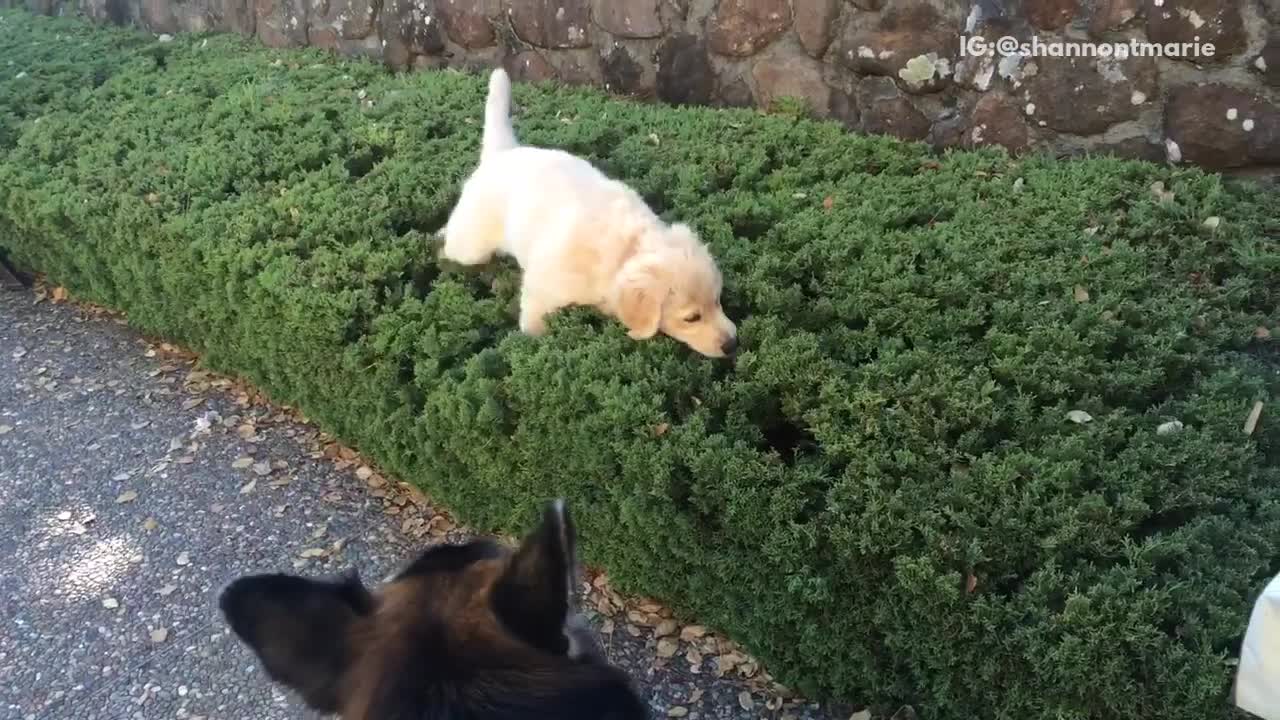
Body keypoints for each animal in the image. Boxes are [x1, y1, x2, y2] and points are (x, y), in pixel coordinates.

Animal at [442, 70, 737, 356]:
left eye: (717, 301)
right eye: (692, 318)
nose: (733, 344)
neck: (626, 251)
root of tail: (502, 152)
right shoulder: (543, 287)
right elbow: (534, 320)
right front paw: (533, 342)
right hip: (472, 244)